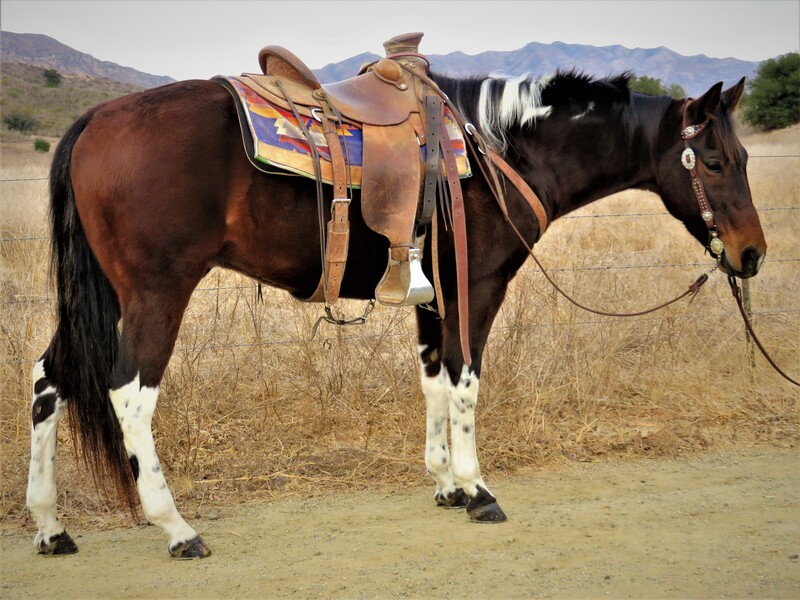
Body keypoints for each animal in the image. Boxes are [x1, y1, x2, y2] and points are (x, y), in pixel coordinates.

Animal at [25, 62, 764, 556]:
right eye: (715, 161)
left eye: (743, 156)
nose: (752, 254)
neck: (500, 152)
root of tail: (95, 121)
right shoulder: (476, 288)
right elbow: (465, 381)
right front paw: (477, 488)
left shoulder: (432, 297)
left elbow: (433, 378)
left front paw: (445, 485)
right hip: (157, 293)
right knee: (129, 395)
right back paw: (176, 527)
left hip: (102, 296)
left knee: (49, 380)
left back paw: (51, 524)